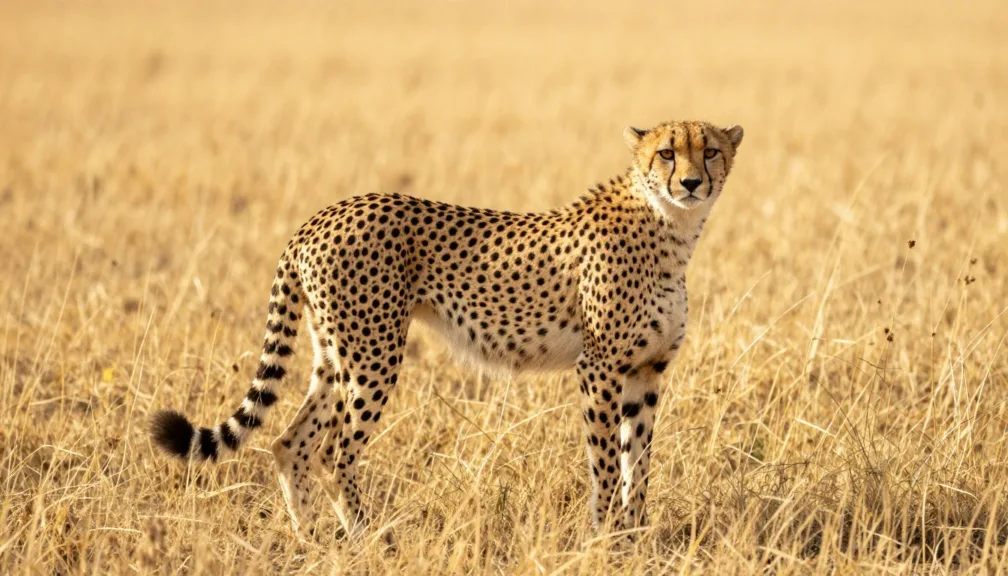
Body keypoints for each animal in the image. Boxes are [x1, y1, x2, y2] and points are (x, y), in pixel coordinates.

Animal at [150, 119, 744, 541]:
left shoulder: (646, 371)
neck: (671, 228)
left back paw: (311, 538)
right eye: (666, 152)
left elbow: (637, 464)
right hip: (373, 355)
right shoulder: (599, 368)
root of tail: (321, 216)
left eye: (710, 150)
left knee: (290, 441)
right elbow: (603, 462)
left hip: (334, 355)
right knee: (334, 451)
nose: (691, 182)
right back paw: (370, 540)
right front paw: (603, 539)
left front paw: (636, 539)